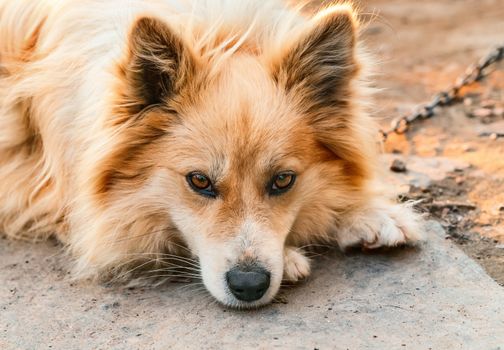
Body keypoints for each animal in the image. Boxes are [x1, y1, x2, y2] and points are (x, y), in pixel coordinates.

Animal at [0, 0, 424, 308]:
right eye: (199, 181)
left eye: (283, 180)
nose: (249, 286)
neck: (219, 34)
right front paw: (291, 255)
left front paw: (369, 212)